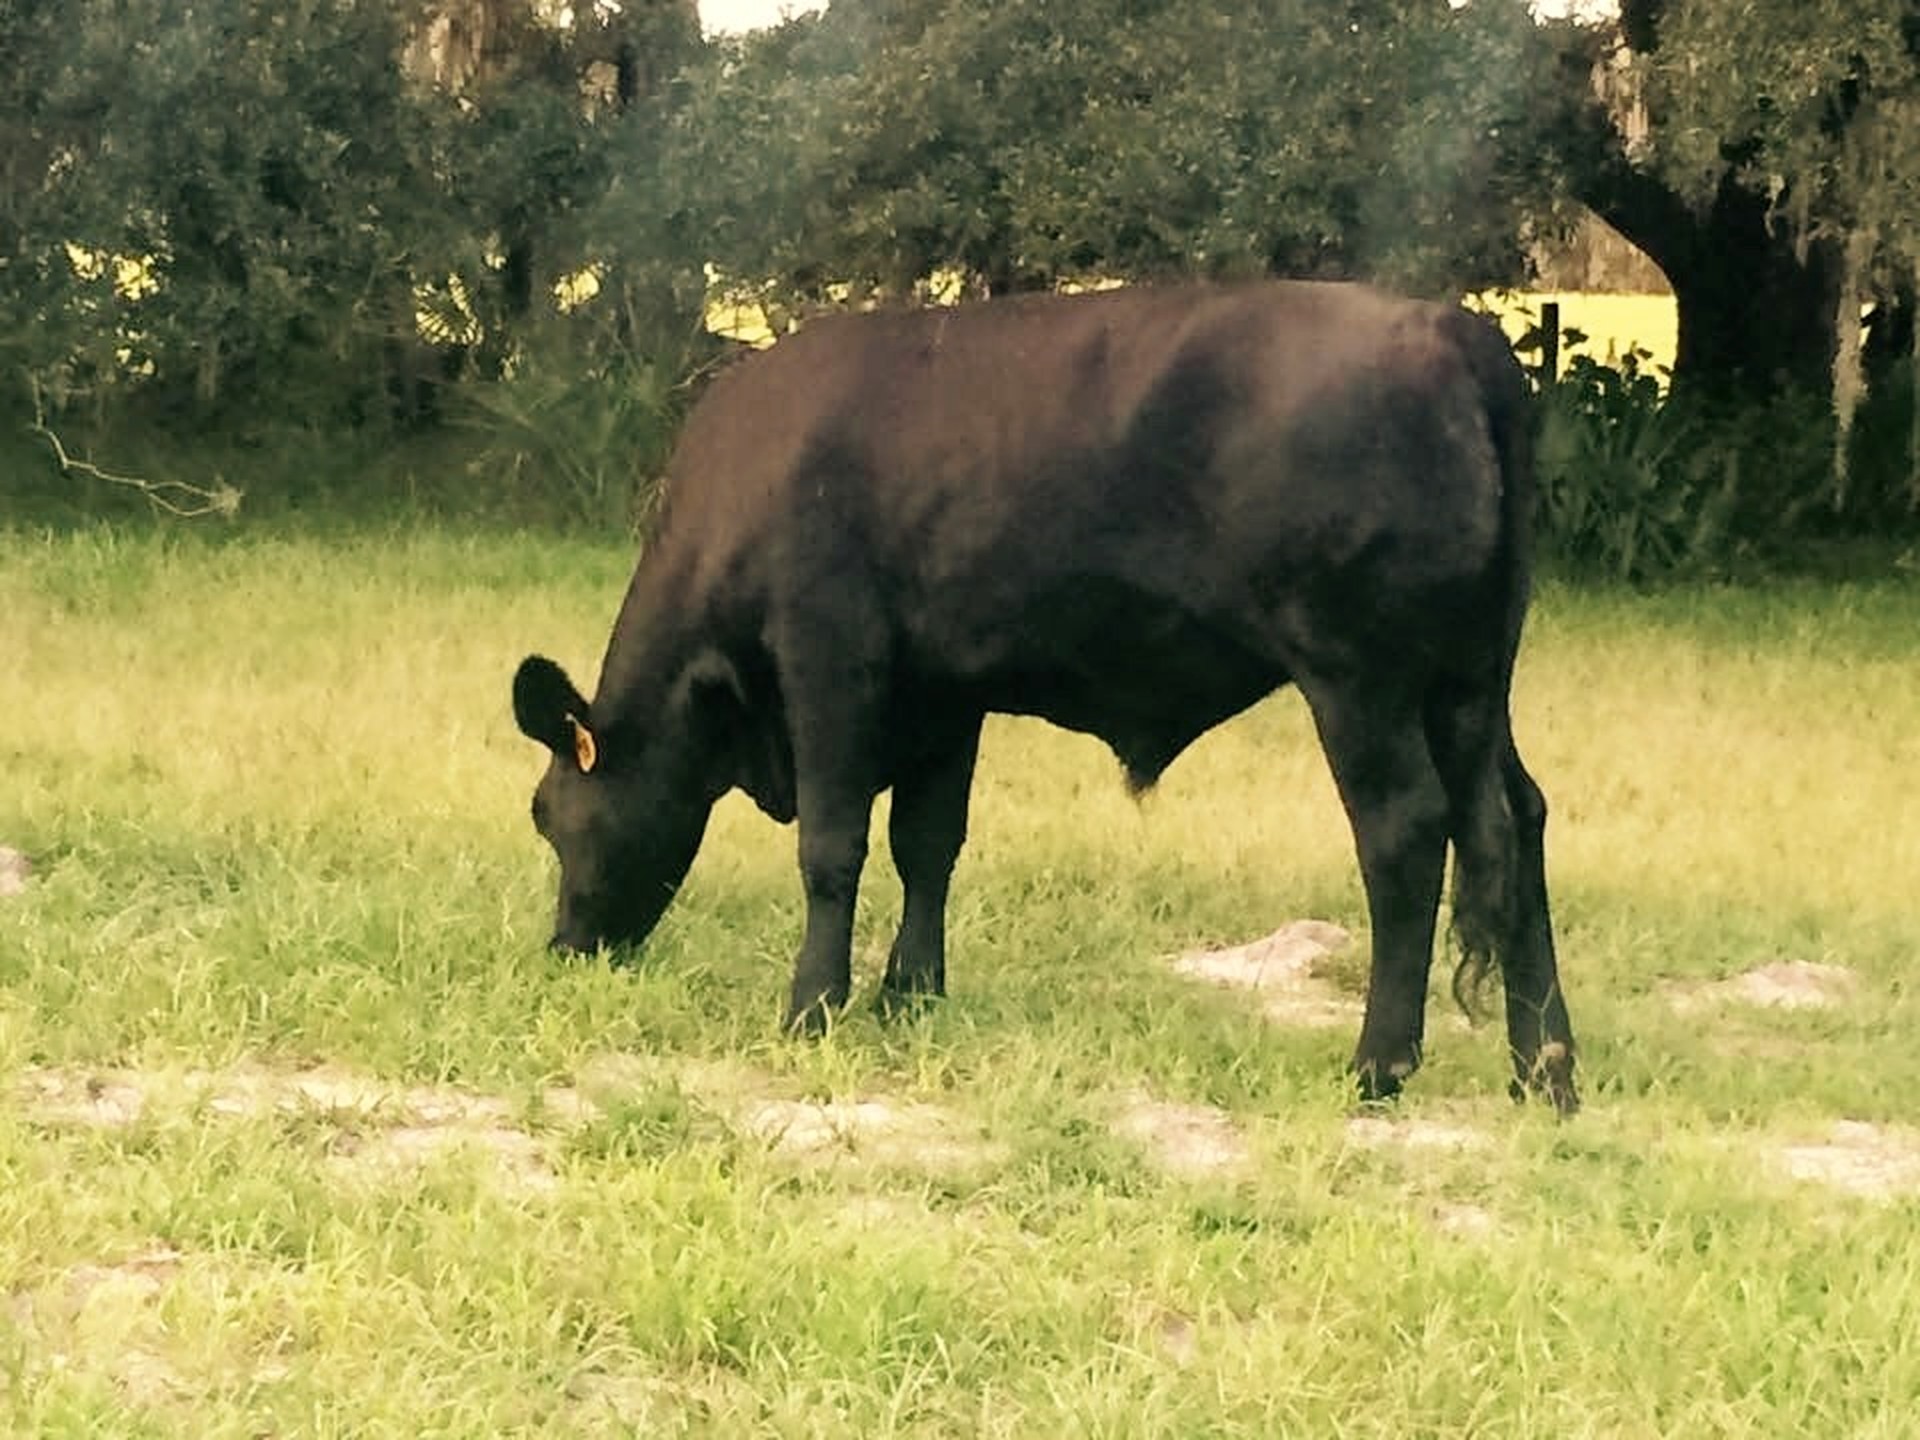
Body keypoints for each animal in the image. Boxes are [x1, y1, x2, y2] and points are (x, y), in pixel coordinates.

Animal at [512, 280, 1577, 1112]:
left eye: (548, 815)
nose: (566, 947)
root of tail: (1450, 331)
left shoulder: (830, 661)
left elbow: (833, 848)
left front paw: (813, 1006)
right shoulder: (943, 694)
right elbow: (928, 844)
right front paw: (910, 994)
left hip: (1363, 679)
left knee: (1406, 833)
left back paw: (1379, 1065)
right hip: (1473, 686)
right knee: (1512, 819)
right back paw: (1545, 1068)